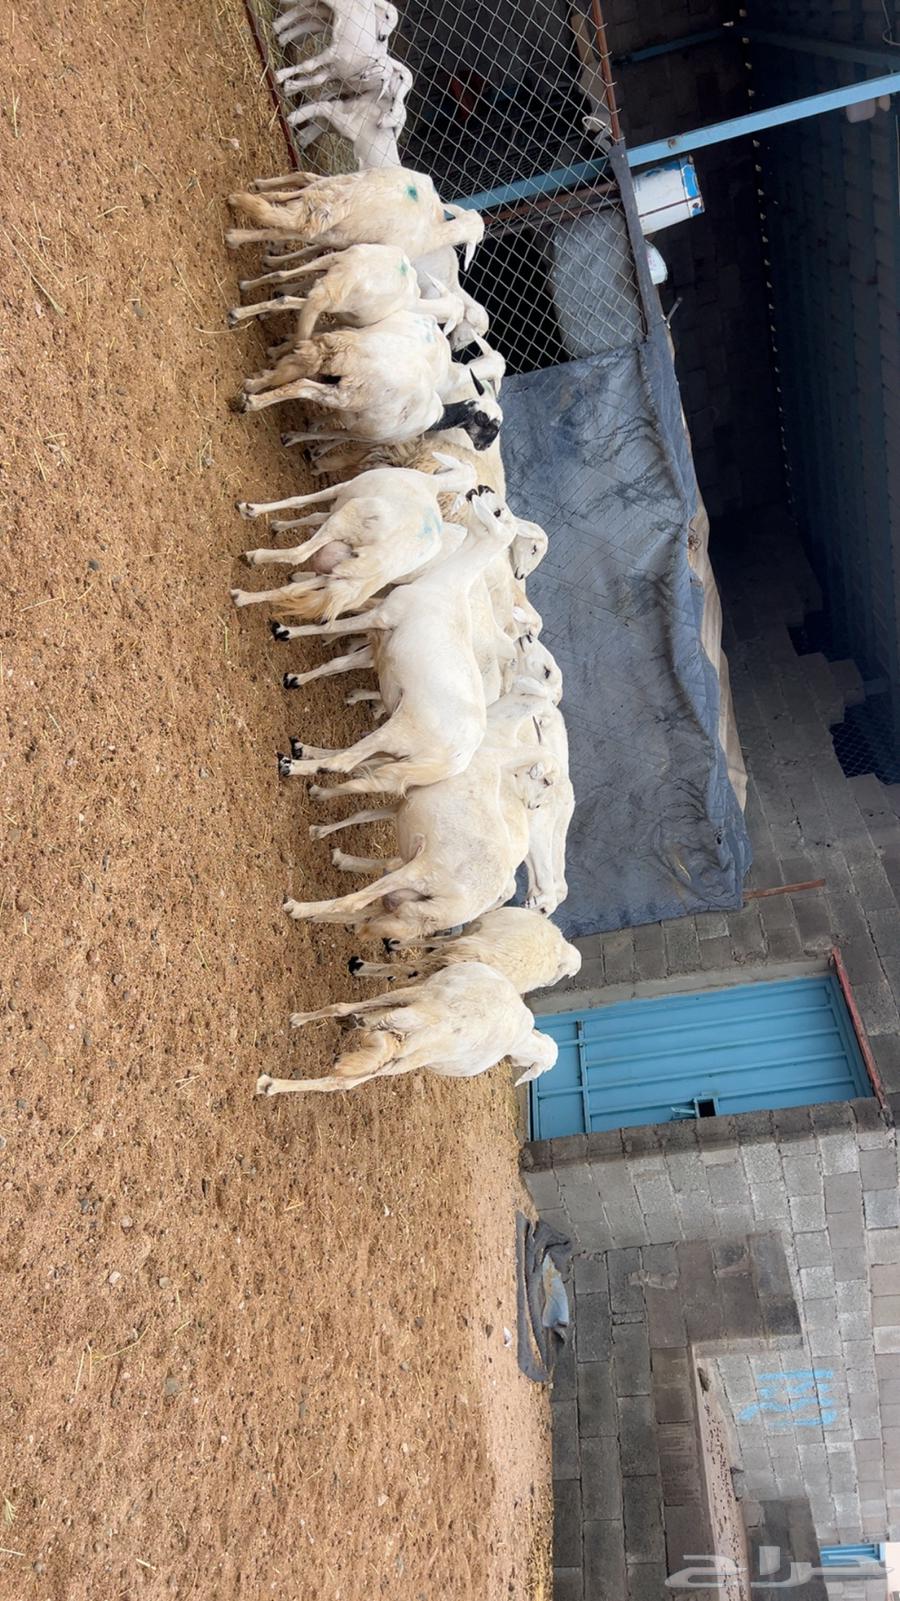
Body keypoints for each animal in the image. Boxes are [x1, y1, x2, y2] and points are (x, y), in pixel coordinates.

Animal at [225, 167, 485, 273]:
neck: (439, 231)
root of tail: (354, 199)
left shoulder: (342, 238)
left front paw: (273, 254)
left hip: (342, 194)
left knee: (302, 196)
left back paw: (252, 196)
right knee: (297, 218)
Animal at [276, 488, 516, 793]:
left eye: (498, 513)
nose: (483, 488)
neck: (448, 587)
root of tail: (456, 761)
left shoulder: (381, 617)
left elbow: (330, 624)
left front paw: (285, 631)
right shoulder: (382, 641)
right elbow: (337, 663)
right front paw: (296, 678)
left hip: (398, 731)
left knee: (343, 763)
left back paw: (292, 765)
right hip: (400, 753)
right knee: (357, 761)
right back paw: (304, 752)